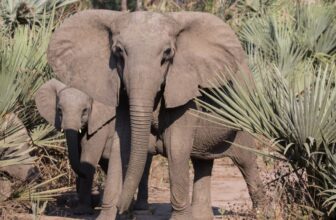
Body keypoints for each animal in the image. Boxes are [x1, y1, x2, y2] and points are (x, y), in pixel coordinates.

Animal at [48, 10, 260, 220]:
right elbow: (122, 145)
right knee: (202, 162)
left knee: (247, 162)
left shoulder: (184, 90)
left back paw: (260, 210)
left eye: (167, 53)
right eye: (119, 52)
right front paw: (107, 215)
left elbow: (176, 147)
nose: (123, 209)